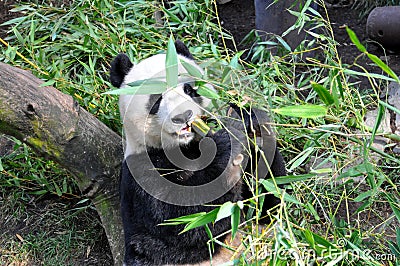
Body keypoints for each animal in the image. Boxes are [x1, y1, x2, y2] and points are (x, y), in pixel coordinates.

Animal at [110, 40, 288, 264]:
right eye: (157, 99)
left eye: (189, 89)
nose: (183, 115)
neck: (185, 147)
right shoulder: (141, 172)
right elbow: (181, 224)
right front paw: (224, 148)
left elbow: (267, 205)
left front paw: (248, 122)